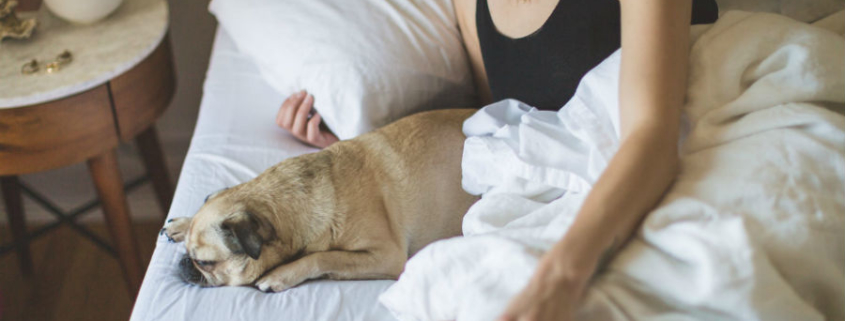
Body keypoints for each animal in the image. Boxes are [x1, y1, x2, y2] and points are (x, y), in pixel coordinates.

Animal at [162, 109, 478, 292]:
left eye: (204, 262)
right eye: (188, 253)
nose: (183, 262)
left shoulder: (386, 255)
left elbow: (324, 256)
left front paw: (282, 274)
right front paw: (183, 223)